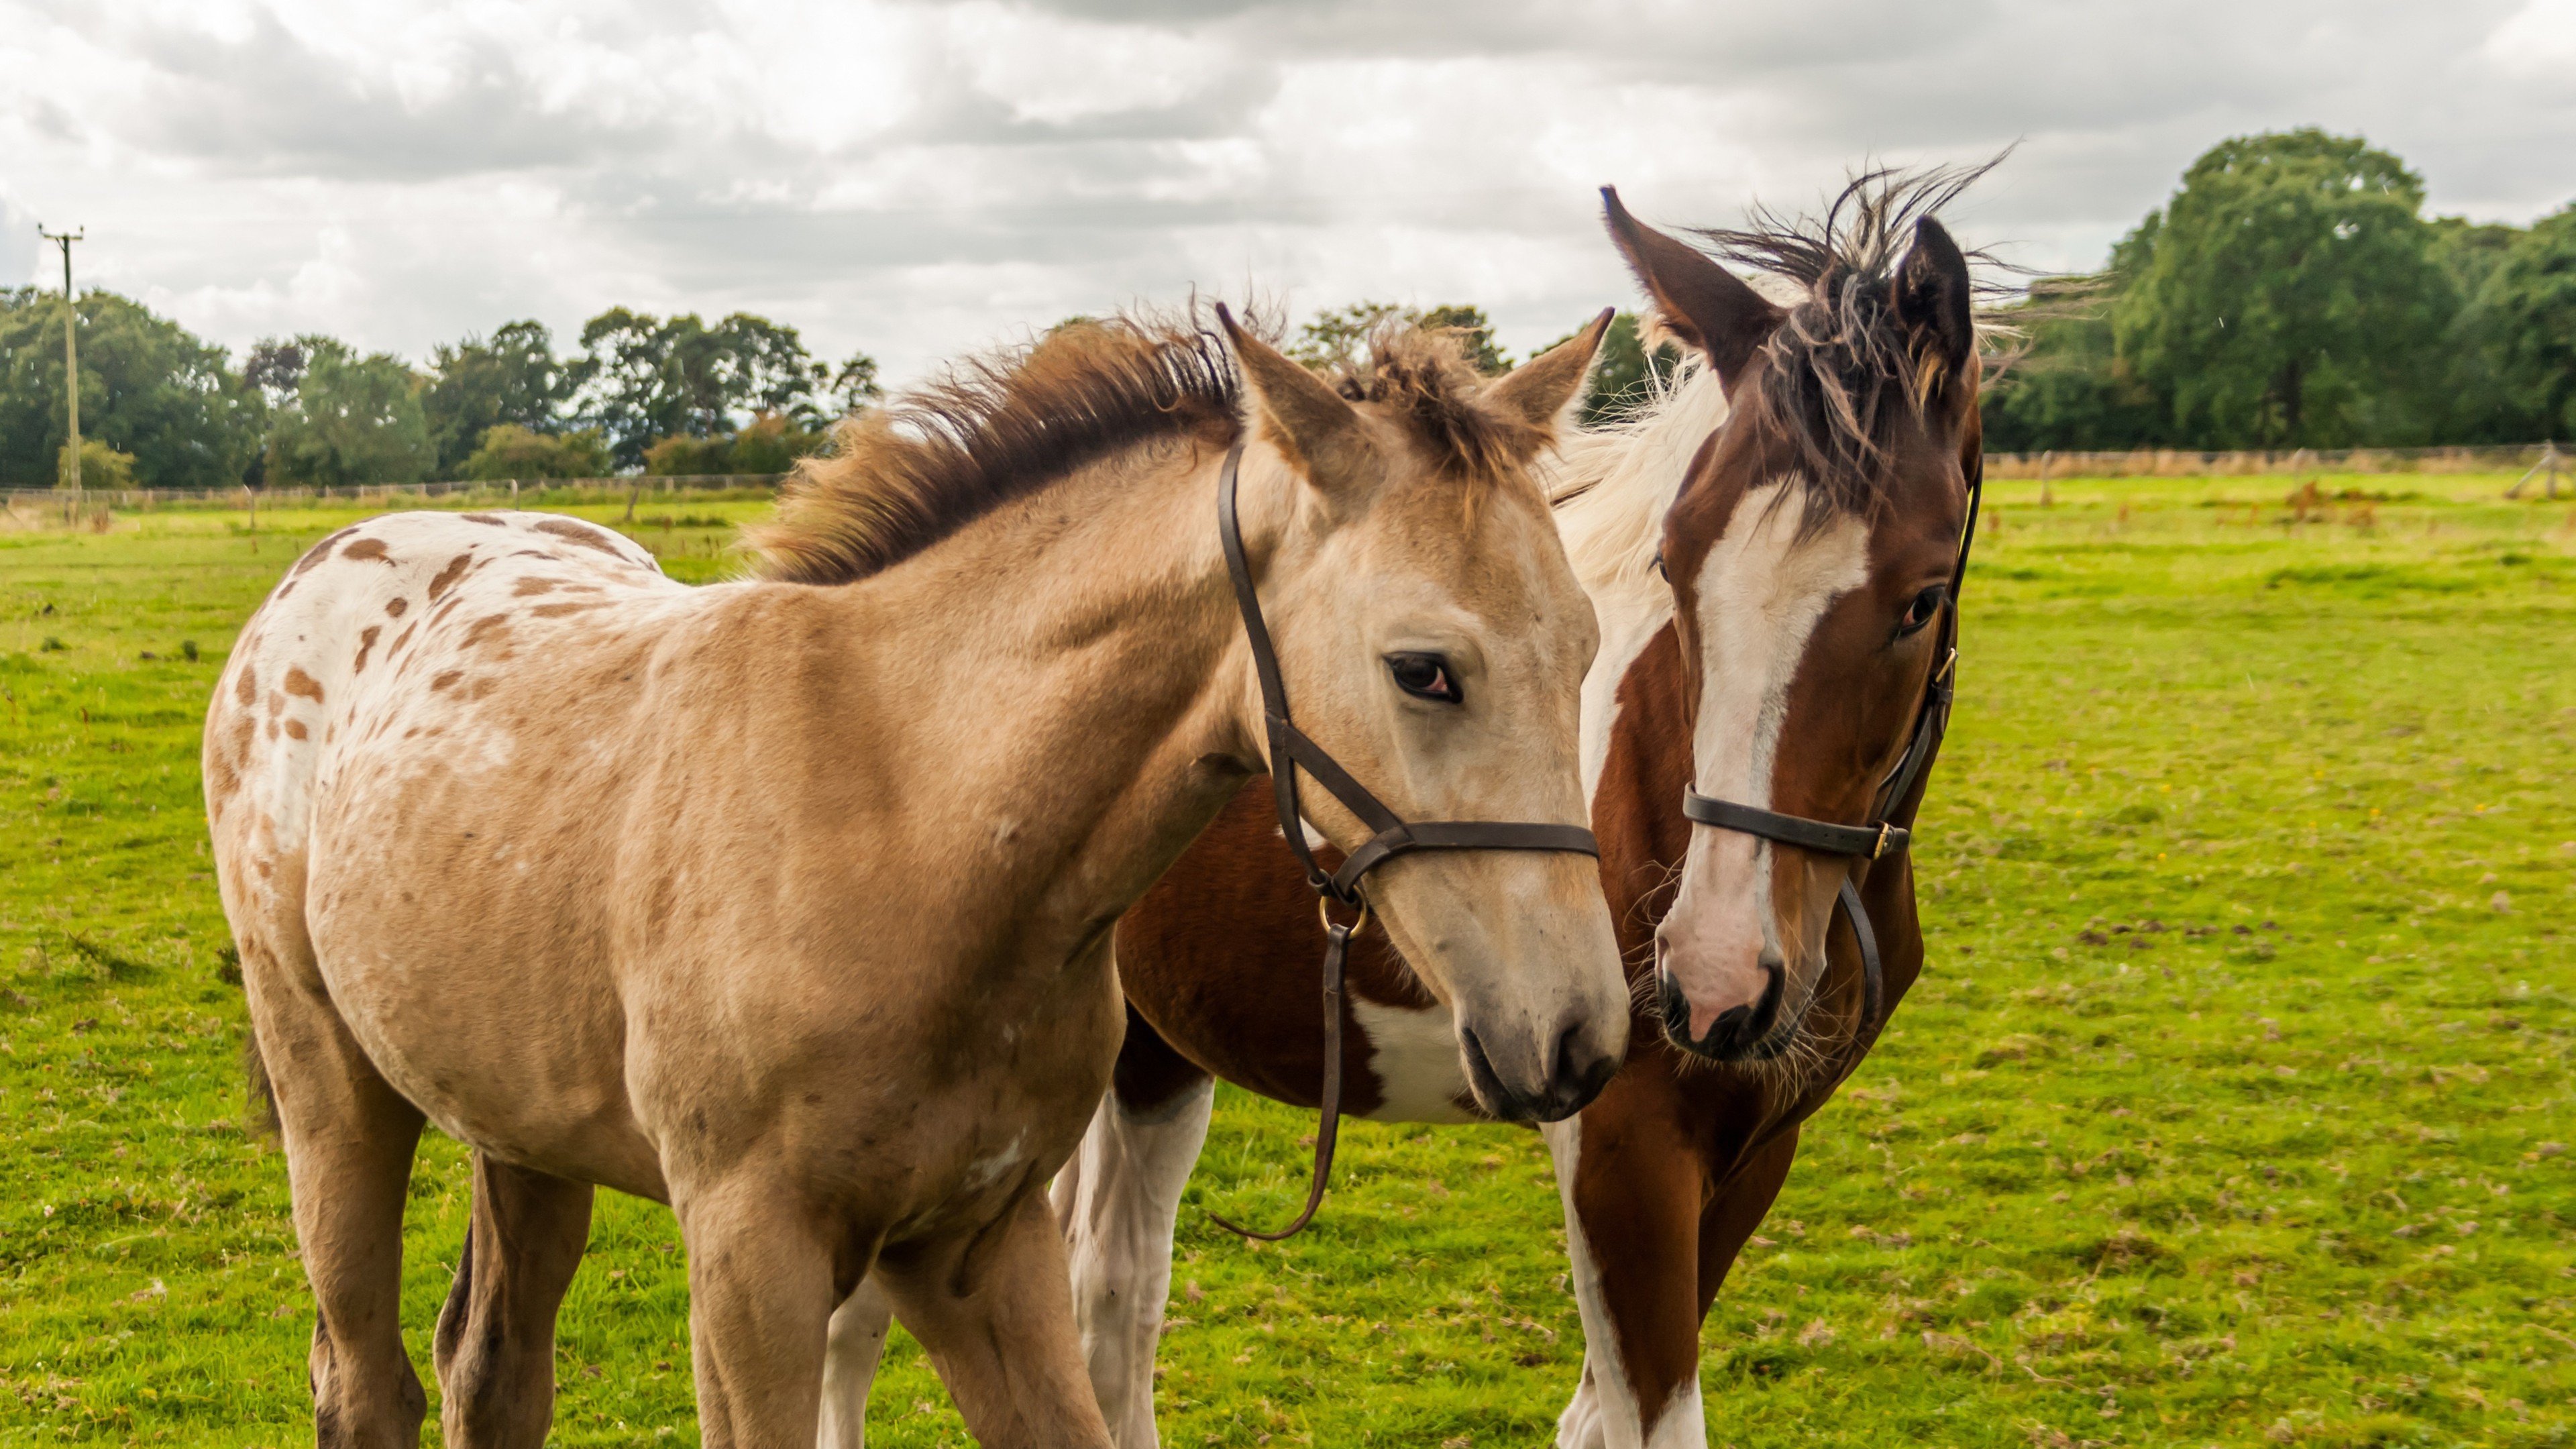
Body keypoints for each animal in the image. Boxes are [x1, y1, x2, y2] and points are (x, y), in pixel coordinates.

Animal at [211, 311, 1638, 1433]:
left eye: (1587, 645)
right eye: (1424, 669)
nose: (1577, 1037)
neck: (913, 820)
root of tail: (314, 577)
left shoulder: (979, 1250)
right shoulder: (751, 1266)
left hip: (521, 1132)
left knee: (492, 1372)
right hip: (333, 1094)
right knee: (366, 1379)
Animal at [855, 182, 1978, 1444]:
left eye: (1921, 600)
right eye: (1675, 564)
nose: (1716, 976)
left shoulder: (1754, 1148)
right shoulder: (1628, 1152)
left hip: (1150, 1050)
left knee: (1114, 1290)